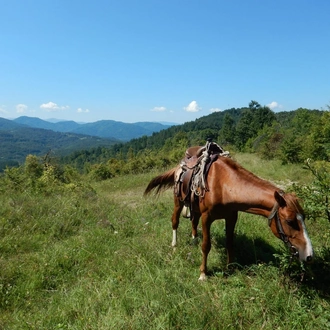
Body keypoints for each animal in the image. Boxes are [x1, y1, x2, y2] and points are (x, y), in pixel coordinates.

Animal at [145, 153, 314, 280]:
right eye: (290, 221)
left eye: (304, 218)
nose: (309, 256)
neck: (223, 185)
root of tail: (179, 167)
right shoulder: (207, 218)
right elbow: (206, 246)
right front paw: (203, 274)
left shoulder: (232, 217)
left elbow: (230, 242)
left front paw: (231, 267)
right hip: (178, 202)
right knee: (175, 221)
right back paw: (174, 244)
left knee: (193, 221)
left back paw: (193, 239)